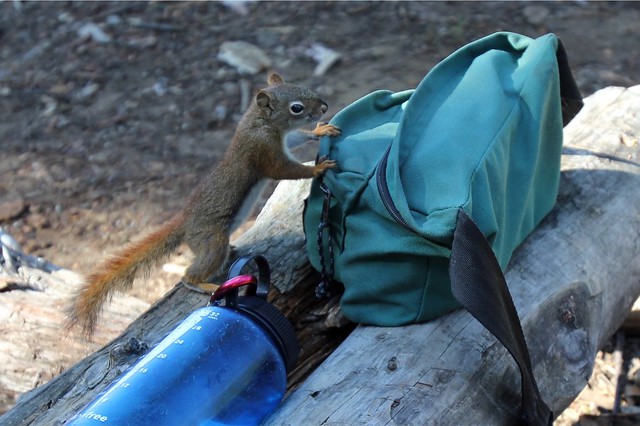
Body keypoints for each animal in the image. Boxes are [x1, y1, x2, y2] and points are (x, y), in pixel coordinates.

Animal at [66, 72, 340, 337]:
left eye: (302, 86)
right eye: (296, 108)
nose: (324, 107)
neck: (260, 121)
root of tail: (185, 223)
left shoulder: (282, 139)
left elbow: (296, 138)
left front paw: (319, 131)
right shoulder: (263, 151)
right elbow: (285, 170)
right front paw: (317, 169)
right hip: (212, 240)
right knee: (190, 275)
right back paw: (206, 284)